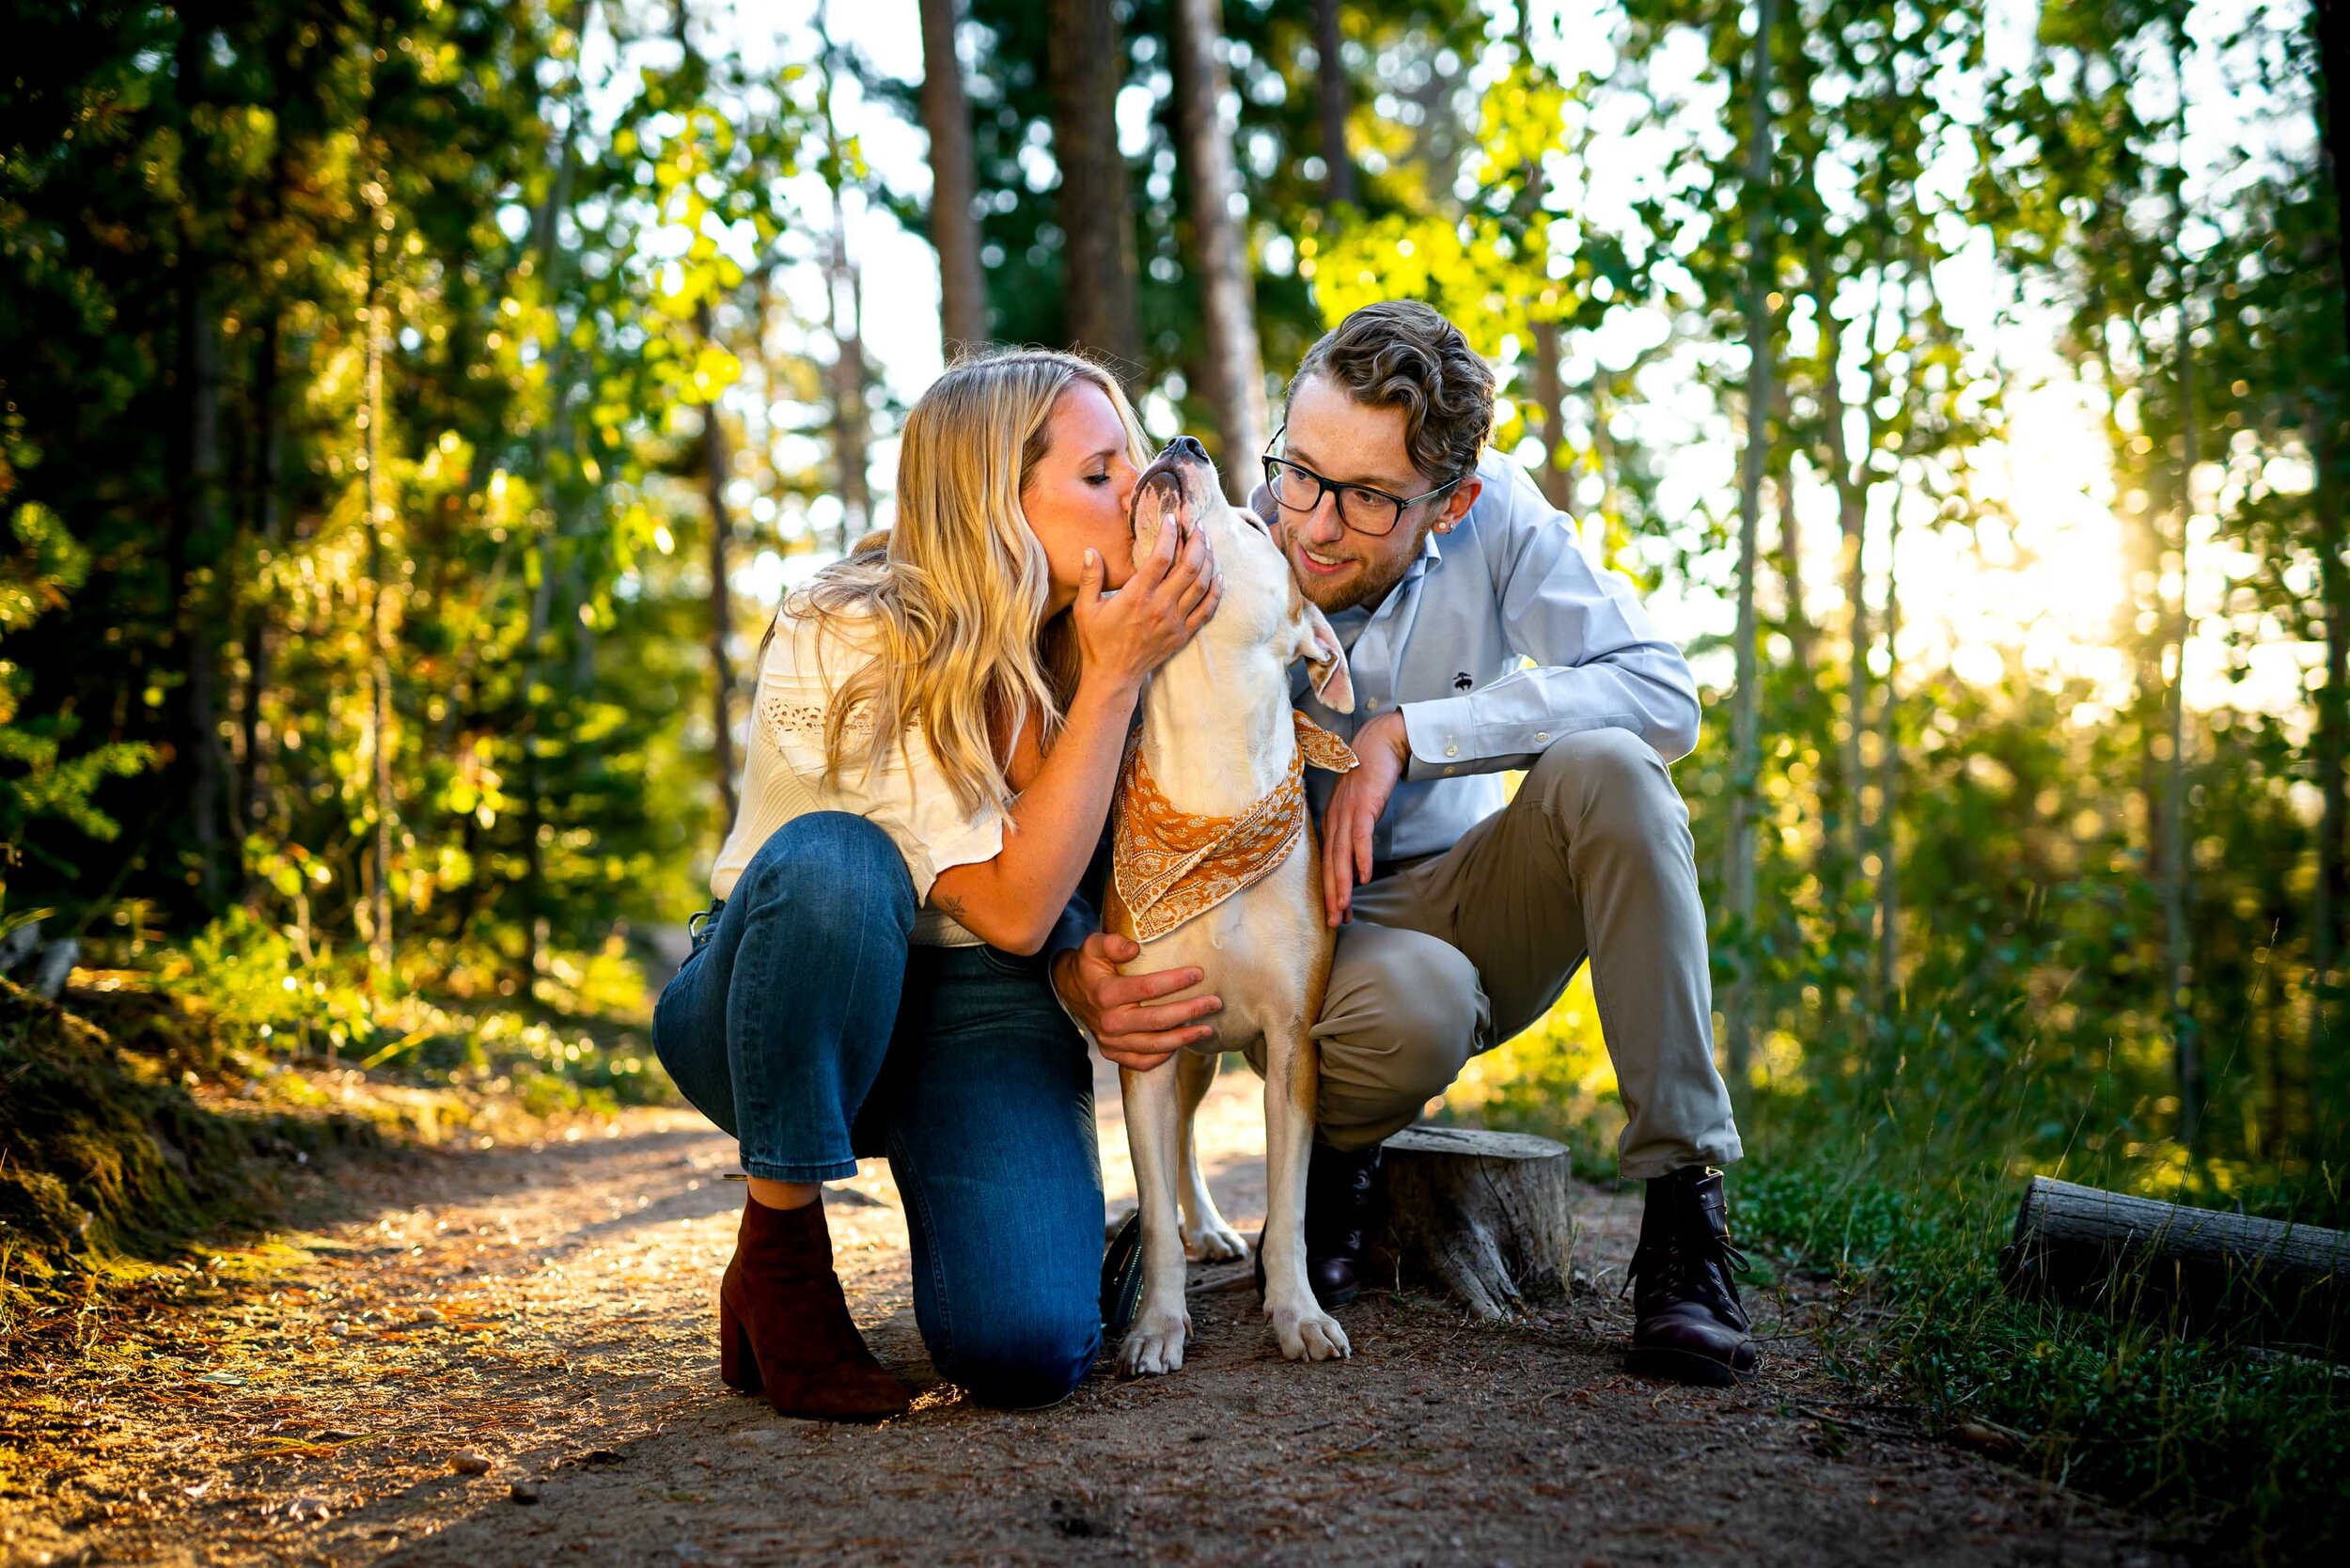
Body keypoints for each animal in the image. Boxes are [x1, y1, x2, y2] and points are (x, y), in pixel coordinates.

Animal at [1104, 434, 1354, 1382]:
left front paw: (1297, 1313)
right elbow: (1151, 1199)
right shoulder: (1144, 1037)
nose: (1183, 442)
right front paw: (1155, 1324)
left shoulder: (1290, 1044)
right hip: (1181, 1041)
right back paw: (1199, 1229)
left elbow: (1289, 1206)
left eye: (1254, 525)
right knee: (1176, 1141)